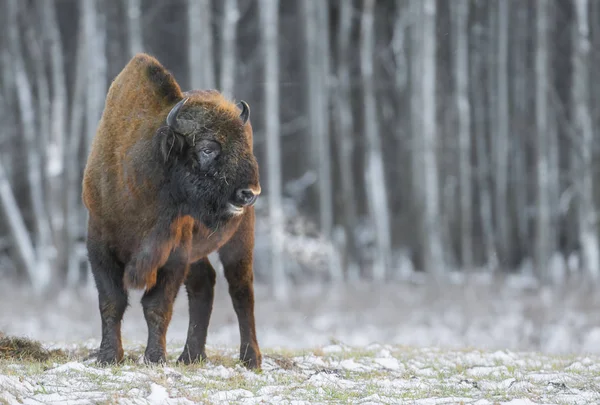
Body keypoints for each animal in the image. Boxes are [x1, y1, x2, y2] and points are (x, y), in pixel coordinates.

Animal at [82, 52, 262, 368]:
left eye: (244, 146)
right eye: (207, 149)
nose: (249, 192)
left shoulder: (173, 252)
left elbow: (157, 306)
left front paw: (154, 358)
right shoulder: (99, 245)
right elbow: (111, 302)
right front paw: (109, 357)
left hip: (240, 237)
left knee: (241, 290)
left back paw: (250, 359)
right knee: (205, 284)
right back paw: (191, 356)